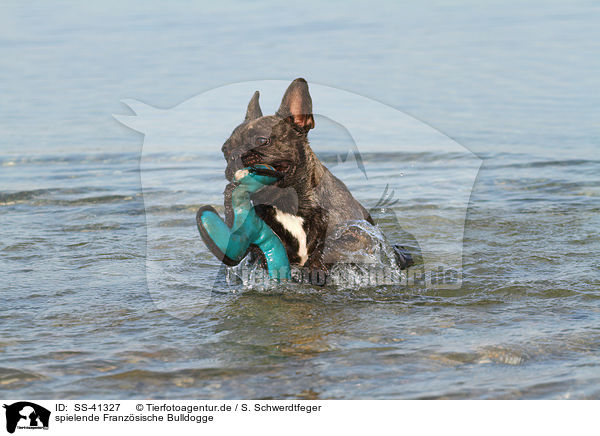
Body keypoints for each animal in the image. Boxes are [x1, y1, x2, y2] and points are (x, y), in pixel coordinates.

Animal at [220, 76, 412, 270]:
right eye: (225, 149)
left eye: (262, 141)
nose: (235, 155)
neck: (288, 203)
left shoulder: (357, 235)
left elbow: (334, 245)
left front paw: (315, 263)